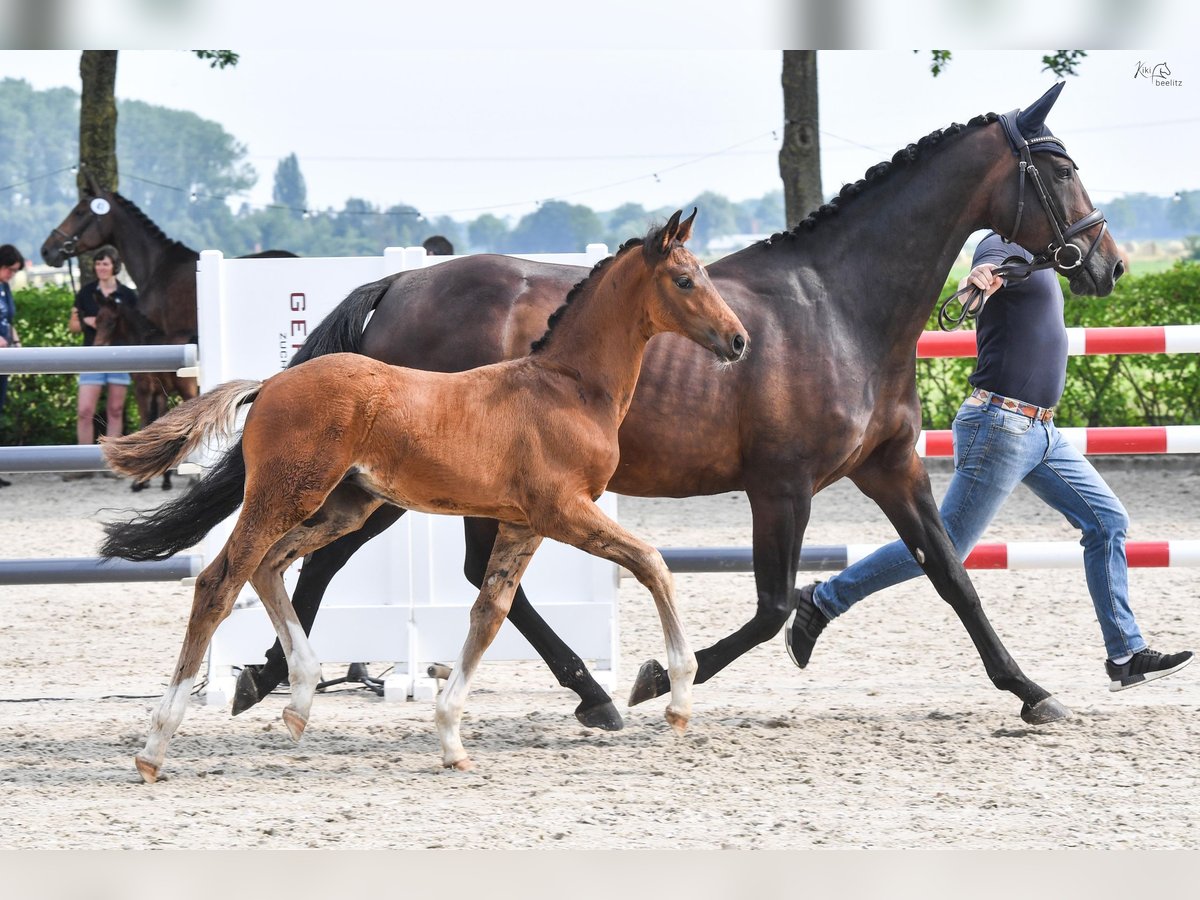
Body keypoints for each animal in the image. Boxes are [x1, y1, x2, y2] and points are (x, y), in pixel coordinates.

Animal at [91, 294, 199, 494]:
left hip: (189, 391)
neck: (145, 342)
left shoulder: (143, 391)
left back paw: (194, 478)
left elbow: (144, 423)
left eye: (111, 322)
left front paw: (139, 482)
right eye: (96, 321)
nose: (97, 346)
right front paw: (164, 480)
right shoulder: (161, 394)